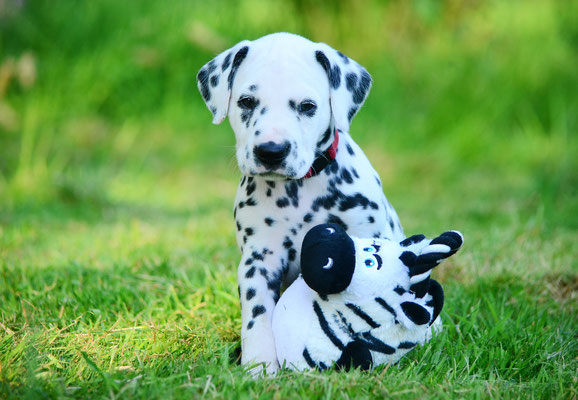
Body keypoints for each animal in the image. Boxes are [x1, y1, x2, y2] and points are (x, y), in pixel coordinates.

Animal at [196, 32, 402, 374]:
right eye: (246, 102)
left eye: (307, 106)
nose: (271, 151)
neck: (299, 192)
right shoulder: (259, 260)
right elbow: (257, 318)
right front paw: (259, 367)